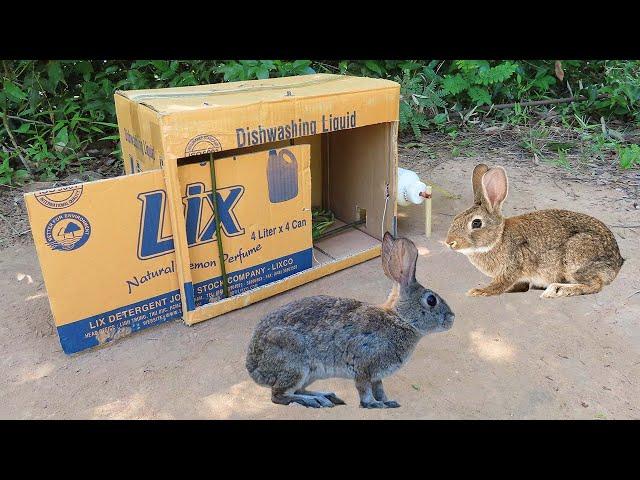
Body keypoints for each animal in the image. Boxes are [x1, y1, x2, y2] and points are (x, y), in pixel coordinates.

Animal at [245, 233, 456, 408]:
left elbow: (379, 389)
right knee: (279, 395)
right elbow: (365, 390)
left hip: (308, 373)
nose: (452, 318)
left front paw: (388, 402)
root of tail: (253, 367)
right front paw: (374, 404)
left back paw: (326, 396)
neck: (400, 319)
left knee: (296, 390)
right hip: (295, 365)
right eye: (431, 300)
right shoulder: (364, 366)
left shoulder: (376, 375)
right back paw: (316, 401)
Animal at [444, 163, 624, 296]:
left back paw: (557, 290)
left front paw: (479, 291)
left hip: (576, 257)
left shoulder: (513, 266)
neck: (498, 238)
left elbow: (501, 284)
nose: (449, 242)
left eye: (476, 223)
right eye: (456, 219)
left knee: (595, 285)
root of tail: (617, 261)